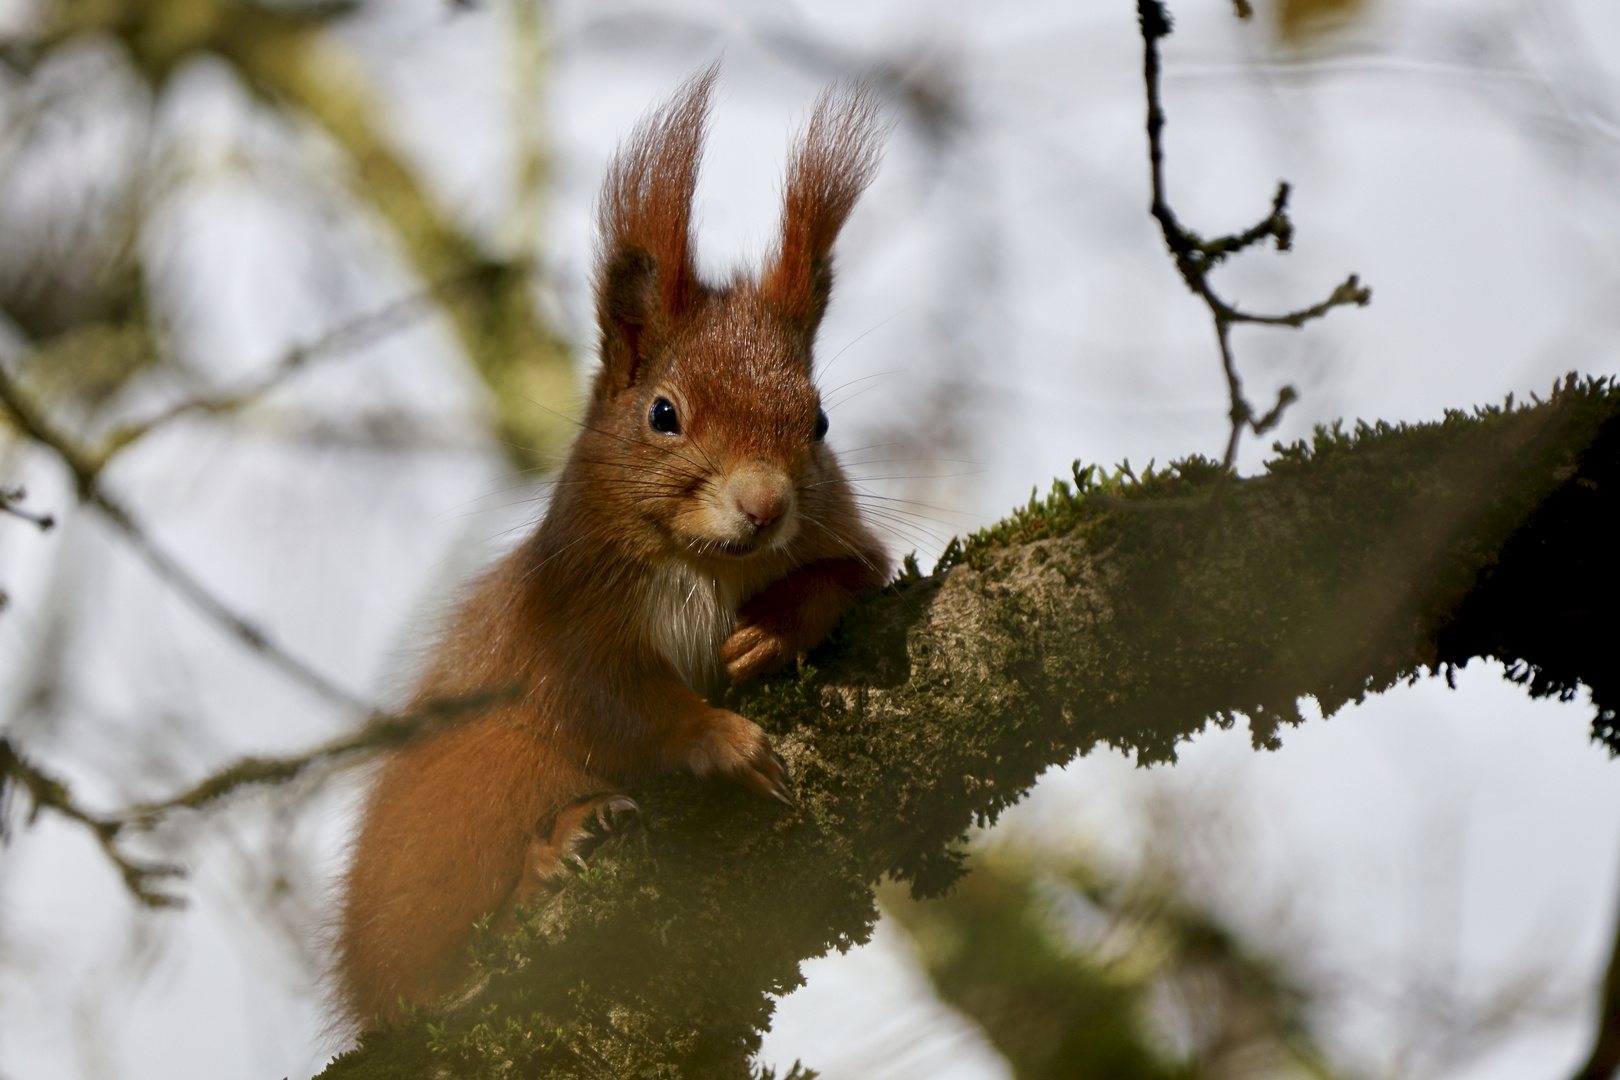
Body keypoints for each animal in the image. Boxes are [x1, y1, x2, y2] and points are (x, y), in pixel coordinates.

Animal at [328, 67, 887, 1029]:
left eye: (818, 422)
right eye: (663, 414)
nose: (764, 505)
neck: (707, 563)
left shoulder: (847, 533)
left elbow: (852, 576)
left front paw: (770, 632)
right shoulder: (562, 614)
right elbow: (613, 700)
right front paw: (716, 736)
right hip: (483, 780)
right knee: (435, 973)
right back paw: (548, 859)